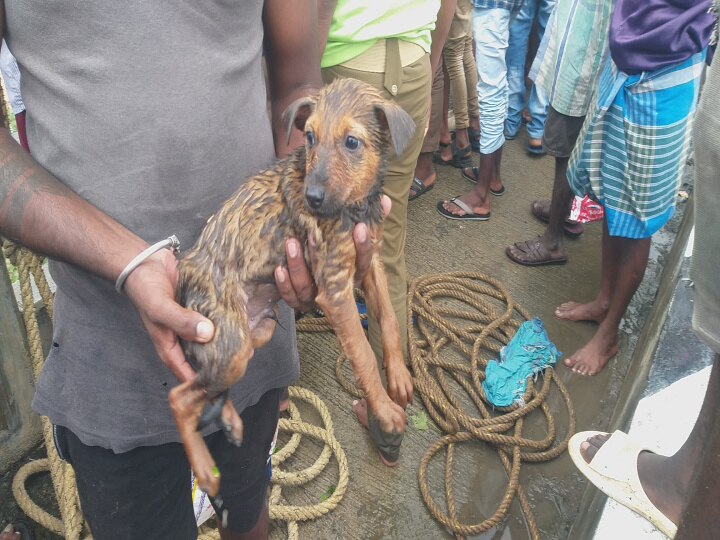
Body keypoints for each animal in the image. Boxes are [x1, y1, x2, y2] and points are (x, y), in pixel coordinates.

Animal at [169, 78, 416, 496]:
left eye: (352, 142)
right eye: (310, 136)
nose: (312, 198)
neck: (353, 205)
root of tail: (186, 271)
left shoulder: (370, 262)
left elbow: (389, 319)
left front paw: (397, 375)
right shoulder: (335, 290)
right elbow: (364, 354)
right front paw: (384, 410)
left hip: (255, 336)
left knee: (206, 387)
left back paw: (230, 420)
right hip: (231, 343)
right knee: (180, 397)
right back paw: (203, 467)